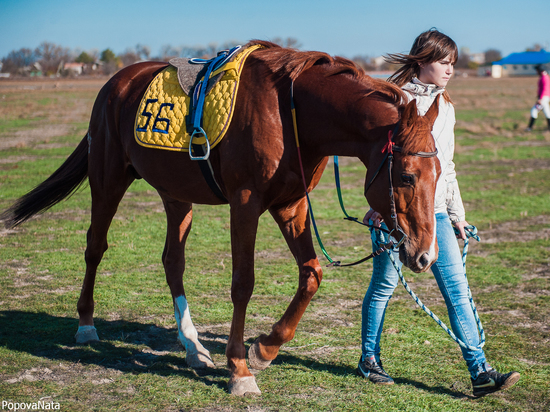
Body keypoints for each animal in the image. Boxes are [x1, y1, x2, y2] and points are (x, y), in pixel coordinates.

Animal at [0, 41, 442, 396]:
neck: (292, 112)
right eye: (406, 176)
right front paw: (240, 369)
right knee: (95, 246)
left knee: (172, 262)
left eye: (438, 174)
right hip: (107, 180)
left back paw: (193, 347)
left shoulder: (291, 206)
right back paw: (87, 324)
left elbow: (312, 274)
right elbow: (243, 283)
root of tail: (115, 83)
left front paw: (264, 349)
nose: (425, 255)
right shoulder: (245, 204)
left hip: (176, 195)